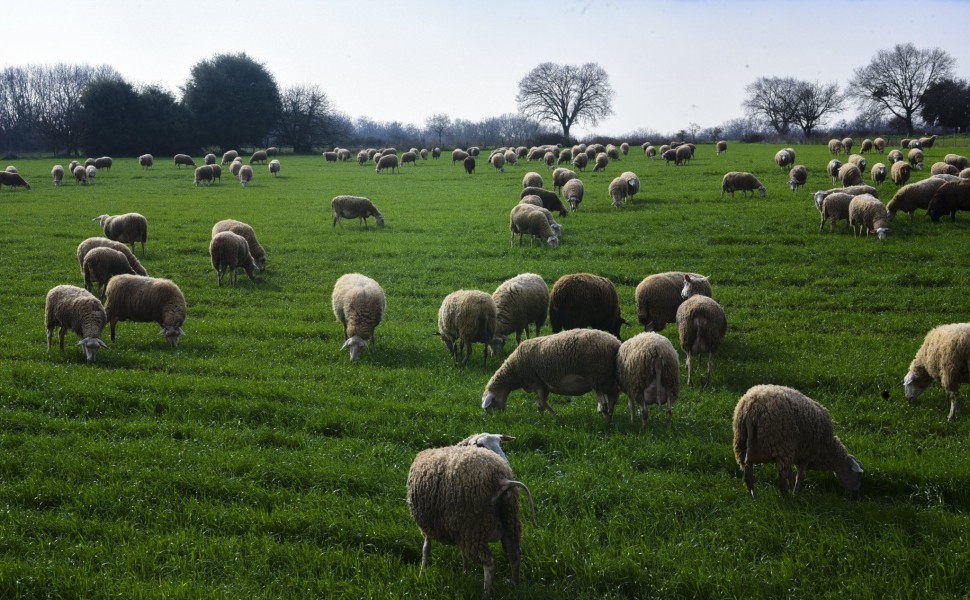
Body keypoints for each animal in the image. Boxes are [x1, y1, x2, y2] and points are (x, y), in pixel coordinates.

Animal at [402, 434, 532, 596]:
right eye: (481, 445)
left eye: (500, 443)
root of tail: (502, 480)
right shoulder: (457, 526)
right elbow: (461, 553)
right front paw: (465, 572)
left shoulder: (428, 524)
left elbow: (426, 548)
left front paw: (422, 573)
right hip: (510, 521)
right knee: (514, 555)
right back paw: (515, 586)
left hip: (474, 528)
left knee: (490, 564)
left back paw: (486, 594)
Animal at [482, 326, 620, 420]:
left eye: (490, 405)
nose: (495, 418)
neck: (514, 372)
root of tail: (615, 343)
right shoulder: (543, 384)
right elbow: (540, 403)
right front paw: (542, 417)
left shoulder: (535, 382)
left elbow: (542, 403)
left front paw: (554, 416)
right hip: (607, 379)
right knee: (612, 398)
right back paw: (609, 417)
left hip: (596, 377)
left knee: (604, 402)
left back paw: (605, 419)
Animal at [728, 384, 860, 496]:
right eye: (855, 474)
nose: (856, 492)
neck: (828, 450)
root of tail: (751, 408)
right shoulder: (807, 454)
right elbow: (799, 476)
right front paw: (796, 493)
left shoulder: (794, 453)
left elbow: (791, 474)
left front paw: (792, 488)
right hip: (781, 446)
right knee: (781, 481)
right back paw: (787, 498)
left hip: (741, 443)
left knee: (748, 474)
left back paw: (754, 495)